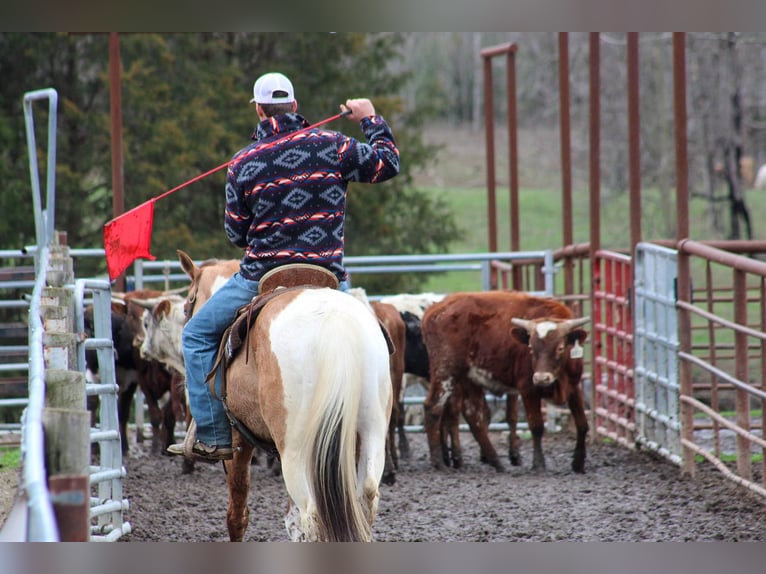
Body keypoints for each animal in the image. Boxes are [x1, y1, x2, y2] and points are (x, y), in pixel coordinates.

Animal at [177, 252, 392, 544]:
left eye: (188, 303)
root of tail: (333, 324)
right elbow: (291, 521)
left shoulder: (237, 439)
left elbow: (237, 513)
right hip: (371, 429)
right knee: (365, 496)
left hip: (295, 448)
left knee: (311, 513)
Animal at [420, 294, 592, 474]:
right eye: (531, 348)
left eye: (560, 348)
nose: (541, 378)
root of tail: (436, 309)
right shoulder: (528, 389)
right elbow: (537, 426)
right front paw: (538, 464)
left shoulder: (574, 387)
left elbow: (582, 423)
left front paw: (578, 462)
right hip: (445, 372)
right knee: (433, 408)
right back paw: (439, 462)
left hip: (468, 378)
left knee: (474, 416)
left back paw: (496, 461)